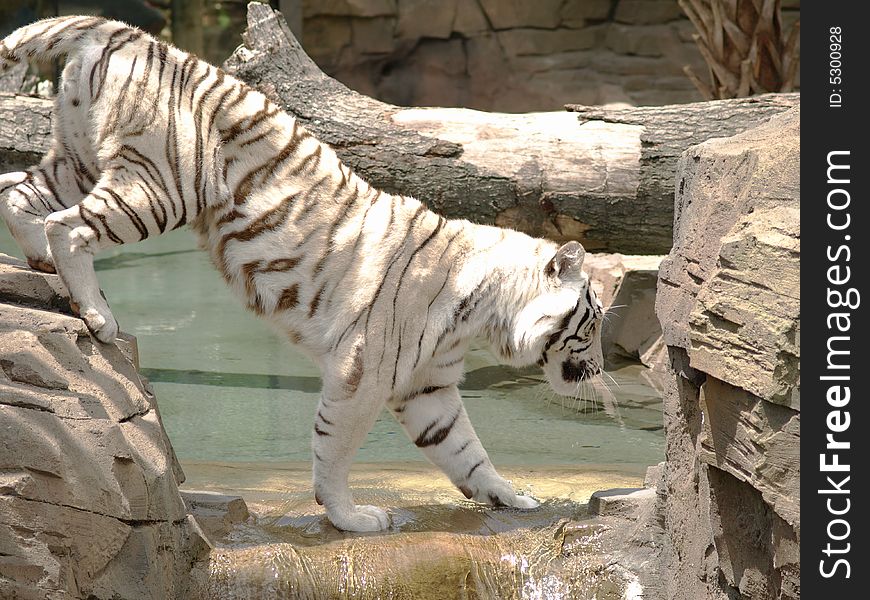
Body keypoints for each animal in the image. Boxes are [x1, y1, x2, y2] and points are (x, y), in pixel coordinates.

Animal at [0, 15, 608, 528]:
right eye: (594, 321)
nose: (600, 372)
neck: (482, 316)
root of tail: (123, 30)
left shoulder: (428, 385)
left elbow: (466, 451)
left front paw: (509, 497)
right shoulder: (362, 374)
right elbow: (334, 448)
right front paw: (352, 518)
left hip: (79, 157)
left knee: (20, 192)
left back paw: (41, 267)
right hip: (159, 185)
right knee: (67, 225)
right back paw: (96, 313)